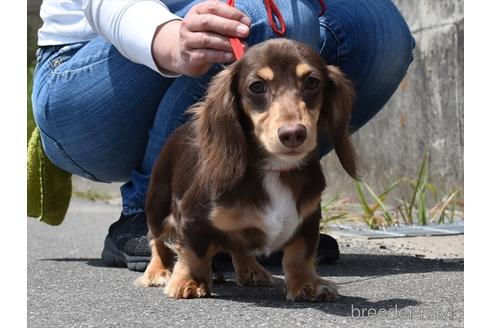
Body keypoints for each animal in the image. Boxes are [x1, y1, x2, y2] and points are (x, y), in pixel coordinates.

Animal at [135, 37, 358, 302]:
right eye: (257, 86)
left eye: (312, 82)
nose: (293, 134)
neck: (274, 169)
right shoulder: (190, 216)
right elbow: (193, 252)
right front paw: (190, 281)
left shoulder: (309, 218)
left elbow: (300, 254)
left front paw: (307, 283)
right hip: (157, 208)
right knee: (157, 240)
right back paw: (157, 271)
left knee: (240, 246)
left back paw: (251, 269)